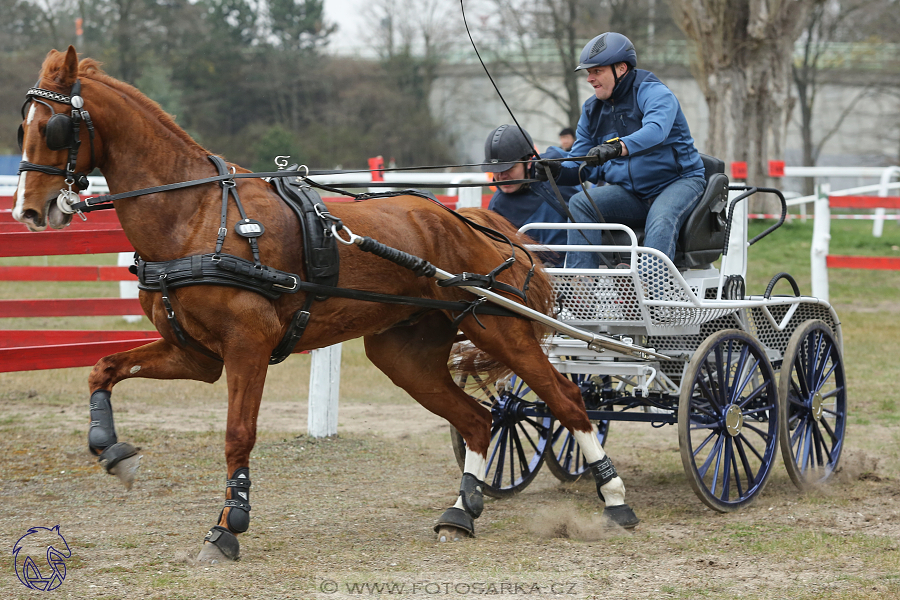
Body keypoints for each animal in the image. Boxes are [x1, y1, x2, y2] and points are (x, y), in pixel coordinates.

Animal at [10, 47, 636, 564]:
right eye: (24, 127)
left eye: (56, 128)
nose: (29, 212)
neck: (197, 216)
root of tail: (469, 219)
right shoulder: (196, 354)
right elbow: (103, 368)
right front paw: (111, 450)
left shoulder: (247, 346)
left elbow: (238, 434)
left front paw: (228, 526)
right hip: (403, 356)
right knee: (481, 421)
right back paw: (461, 513)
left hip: (501, 328)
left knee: (568, 401)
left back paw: (613, 498)